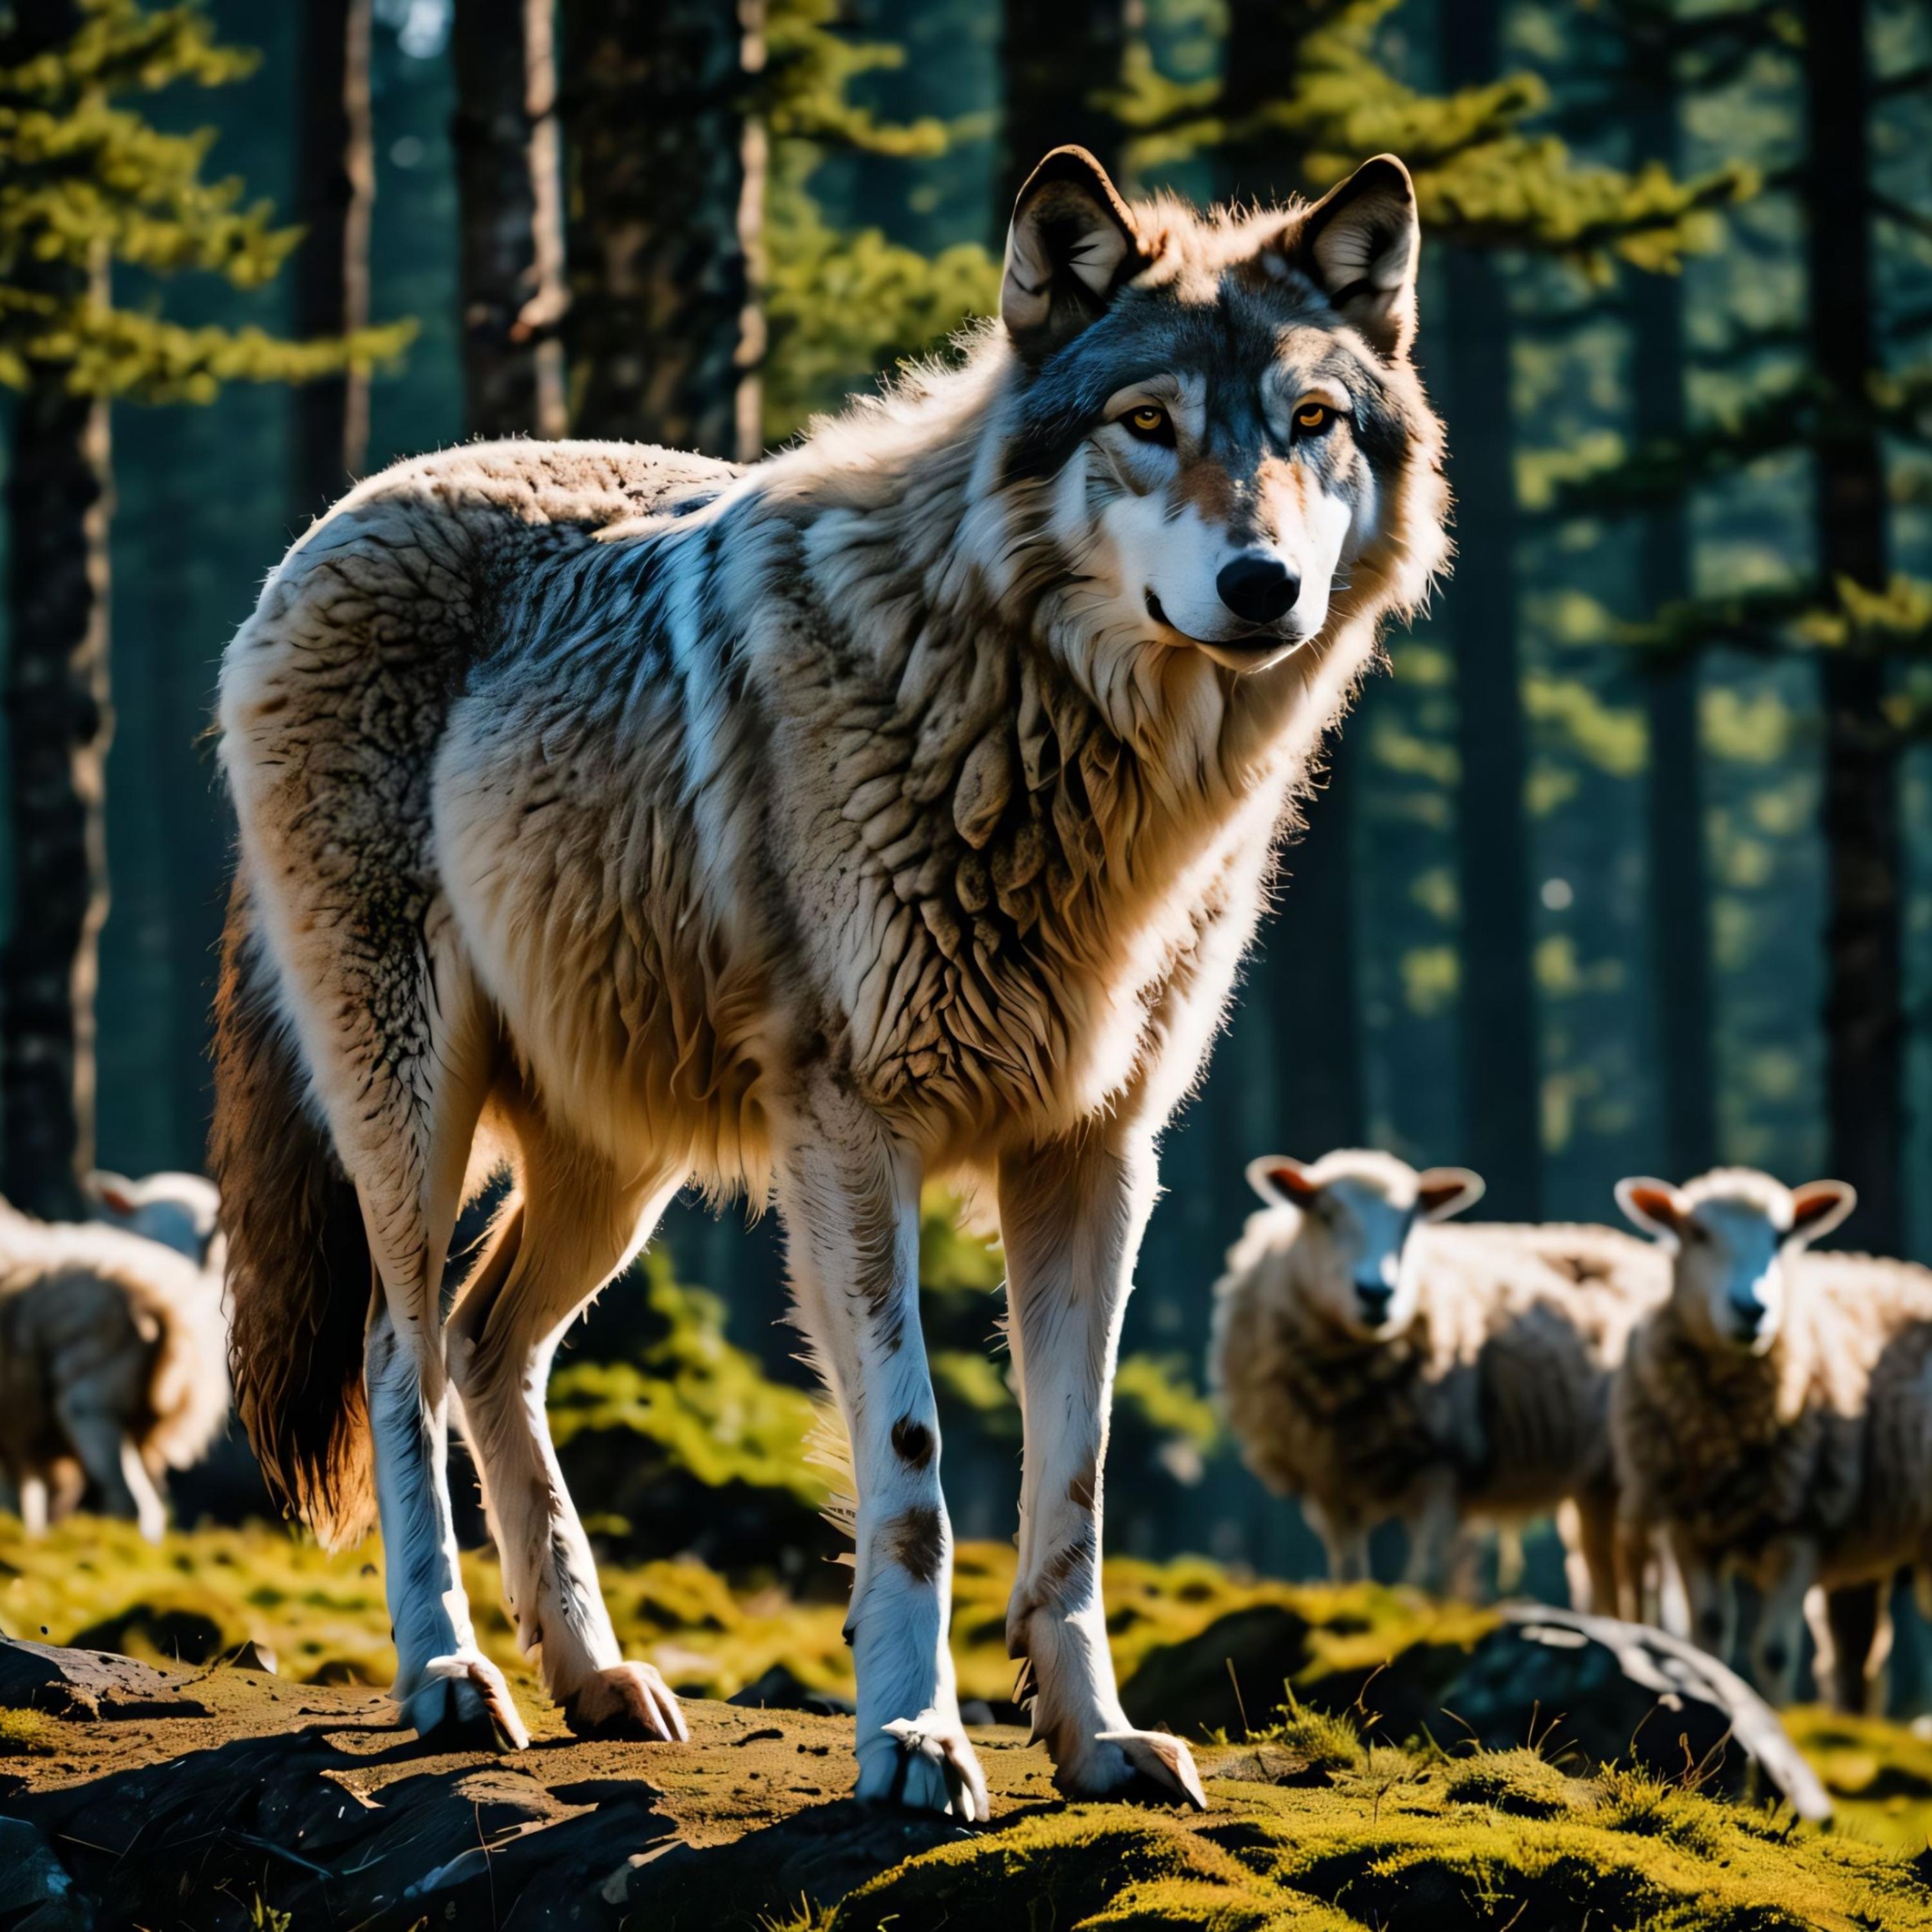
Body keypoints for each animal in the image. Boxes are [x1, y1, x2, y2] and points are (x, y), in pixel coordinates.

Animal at [212, 145, 1448, 1816]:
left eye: (1311, 422)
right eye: (1148, 425)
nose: (1260, 585)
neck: (1049, 734)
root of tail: (335, 519)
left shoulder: (1096, 1152)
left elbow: (1074, 1481)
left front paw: (1097, 1739)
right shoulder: (859, 1131)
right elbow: (914, 1469)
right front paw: (914, 1739)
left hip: (615, 1159)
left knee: (486, 1342)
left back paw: (595, 1673)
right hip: (416, 1106)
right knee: (398, 1353)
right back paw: (451, 1672)